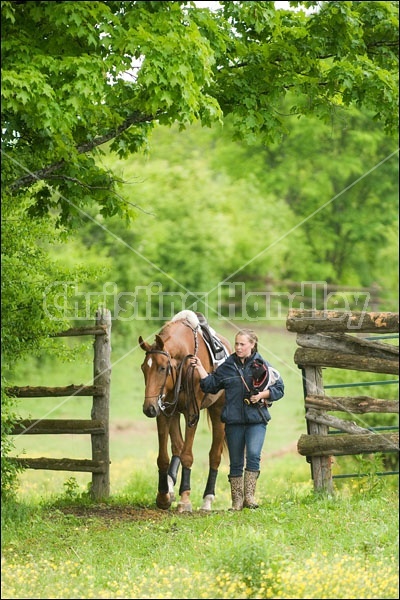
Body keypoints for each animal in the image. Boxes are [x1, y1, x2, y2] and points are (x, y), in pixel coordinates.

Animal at [139, 310, 231, 510]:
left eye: (162, 367)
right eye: (143, 368)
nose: (148, 408)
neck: (184, 362)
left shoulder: (191, 412)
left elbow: (187, 455)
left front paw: (185, 499)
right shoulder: (164, 412)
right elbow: (164, 457)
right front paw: (163, 495)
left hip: (218, 411)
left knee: (214, 455)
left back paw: (207, 499)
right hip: (174, 413)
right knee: (177, 448)